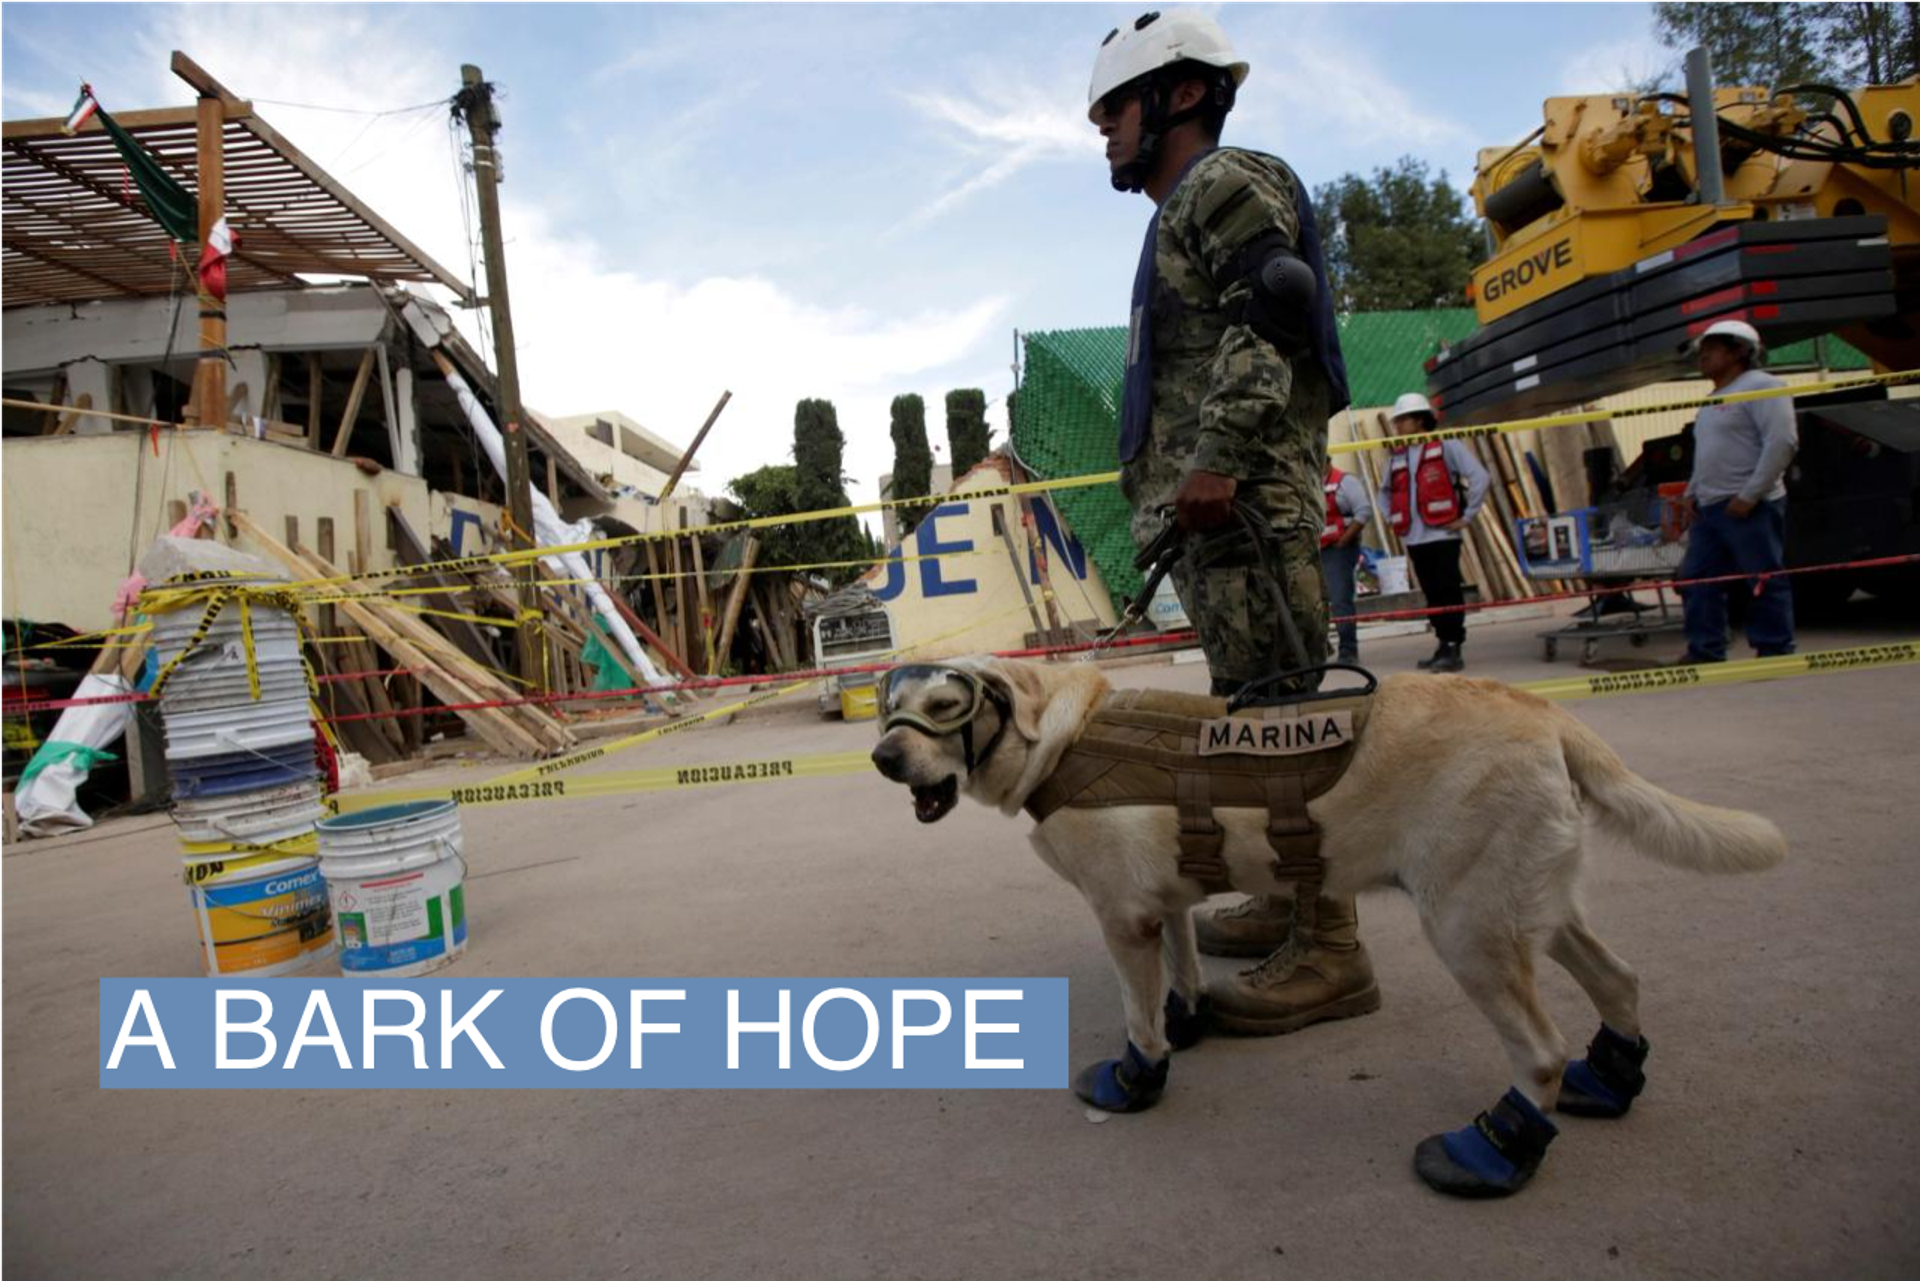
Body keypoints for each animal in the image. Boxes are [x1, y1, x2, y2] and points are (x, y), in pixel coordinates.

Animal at [871, 660, 1781, 1206]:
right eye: (887, 711)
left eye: (945, 707)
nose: (883, 758)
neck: (1064, 734)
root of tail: (1550, 717)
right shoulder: (1163, 902)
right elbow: (1184, 965)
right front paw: (1188, 1019)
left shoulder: (1121, 915)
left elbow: (1137, 1015)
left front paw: (1137, 1077)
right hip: (1530, 906)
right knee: (1619, 977)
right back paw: (1609, 1078)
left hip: (1469, 927)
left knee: (1540, 1049)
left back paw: (1493, 1151)